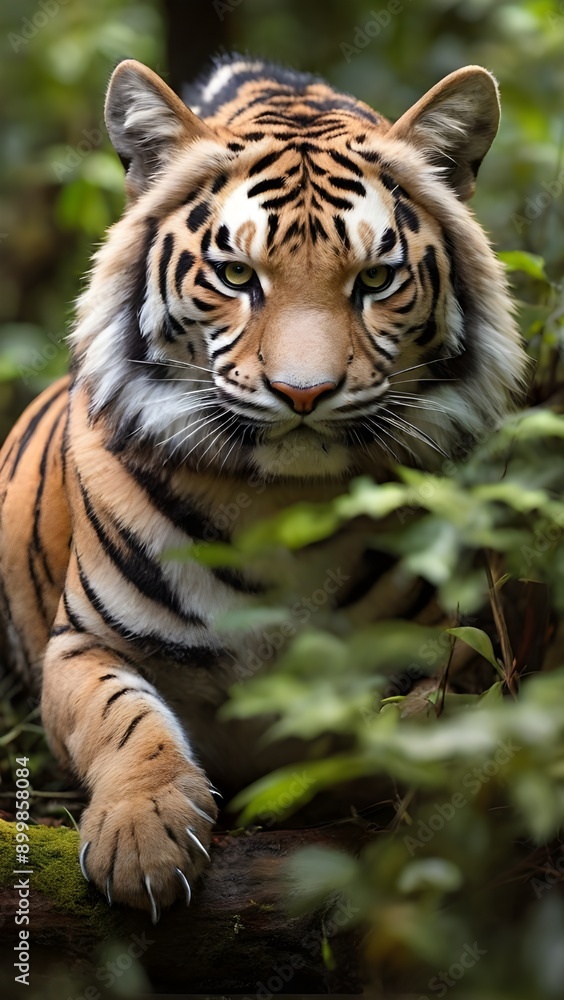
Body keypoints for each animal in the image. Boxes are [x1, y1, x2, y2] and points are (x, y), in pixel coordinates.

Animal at [0, 54, 527, 920]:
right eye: (236, 274)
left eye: (375, 278)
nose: (303, 393)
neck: (283, 508)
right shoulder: (81, 643)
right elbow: (122, 718)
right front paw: (141, 842)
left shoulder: (451, 648)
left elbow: (430, 723)